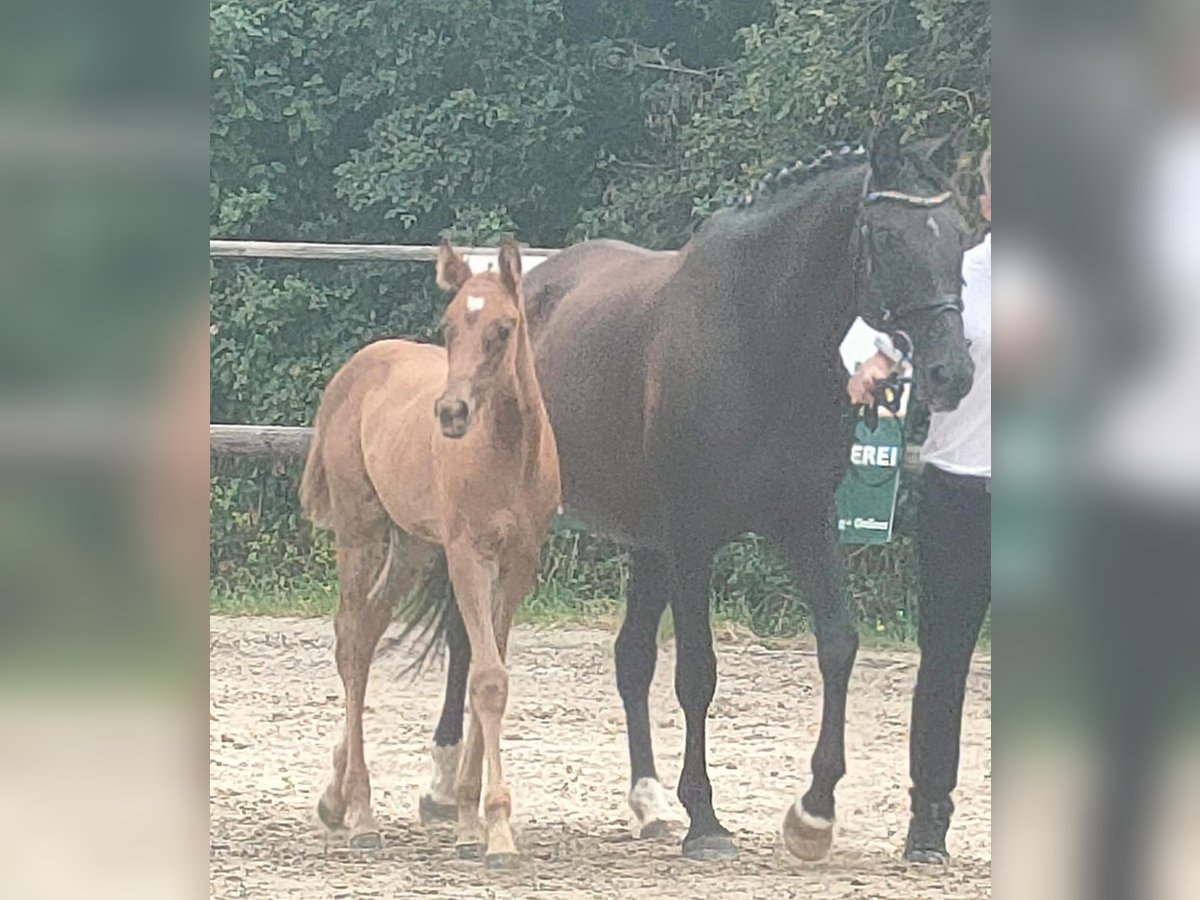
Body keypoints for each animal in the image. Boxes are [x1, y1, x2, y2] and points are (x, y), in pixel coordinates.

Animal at [300, 237, 561, 868]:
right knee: (351, 642)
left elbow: (492, 673)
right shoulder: (467, 554)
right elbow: (485, 677)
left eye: (501, 329)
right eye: (447, 327)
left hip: (412, 546)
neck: (506, 452)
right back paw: (361, 814)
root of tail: (352, 372)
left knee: (368, 629)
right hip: (361, 531)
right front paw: (495, 832)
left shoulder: (518, 565)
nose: (450, 414)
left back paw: (335, 801)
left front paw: (470, 822)